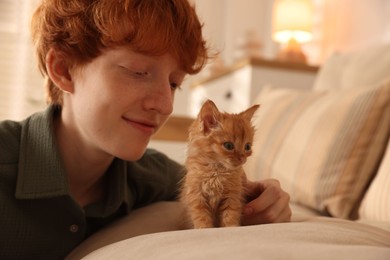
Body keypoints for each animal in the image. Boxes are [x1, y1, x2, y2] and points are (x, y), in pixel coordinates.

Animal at [180, 99, 258, 228]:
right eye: (228, 146)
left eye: (247, 147)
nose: (242, 158)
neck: (217, 172)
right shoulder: (196, 197)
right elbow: (202, 219)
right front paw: (204, 228)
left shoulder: (233, 196)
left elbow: (230, 217)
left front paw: (231, 227)